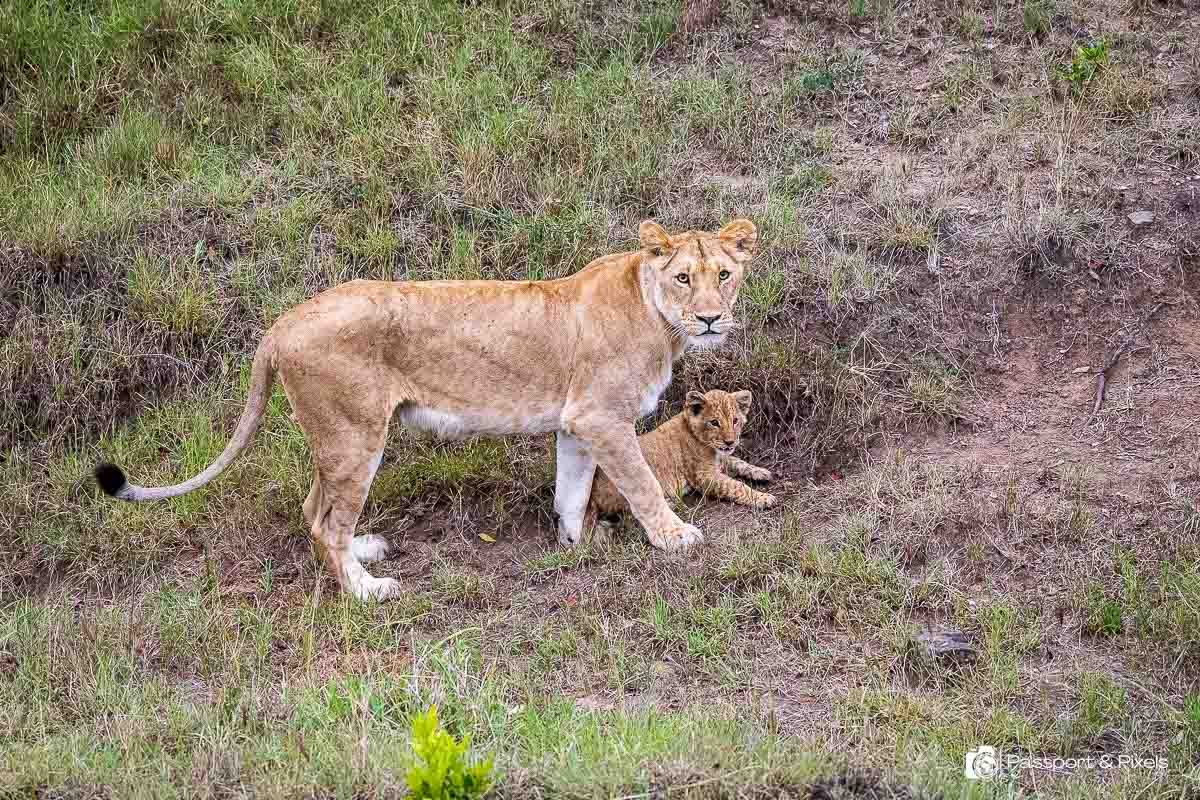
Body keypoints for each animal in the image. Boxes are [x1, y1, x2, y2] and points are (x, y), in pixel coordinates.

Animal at [587, 388, 776, 534]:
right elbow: (736, 486)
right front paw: (764, 498)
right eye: (714, 422)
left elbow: (737, 461)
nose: (730, 442)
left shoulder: (720, 459)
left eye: (735, 421)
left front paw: (761, 472)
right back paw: (671, 502)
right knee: (632, 511)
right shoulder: (703, 476)